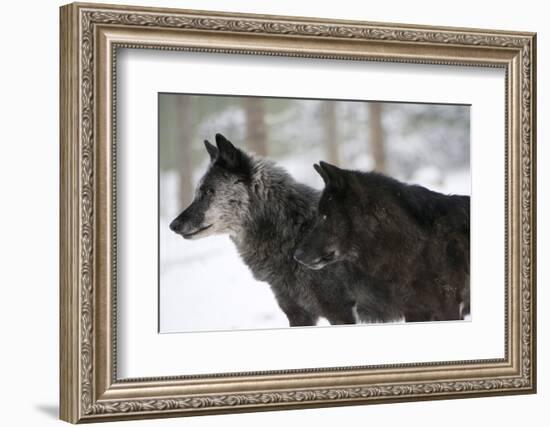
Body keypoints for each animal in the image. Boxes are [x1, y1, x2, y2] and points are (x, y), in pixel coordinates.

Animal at [169, 135, 358, 328]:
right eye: (197, 192)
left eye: (208, 191)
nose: (173, 225)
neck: (294, 232)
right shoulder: (297, 314)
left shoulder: (340, 312)